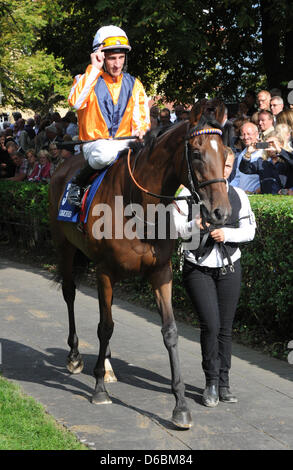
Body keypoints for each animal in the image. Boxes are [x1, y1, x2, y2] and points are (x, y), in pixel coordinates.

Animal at [48, 105, 230, 430]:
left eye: (225, 152)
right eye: (196, 153)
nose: (220, 212)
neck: (138, 207)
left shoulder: (161, 272)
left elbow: (170, 332)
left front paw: (180, 406)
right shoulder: (105, 270)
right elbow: (105, 326)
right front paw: (98, 389)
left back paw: (106, 363)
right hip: (64, 246)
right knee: (70, 293)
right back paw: (75, 356)